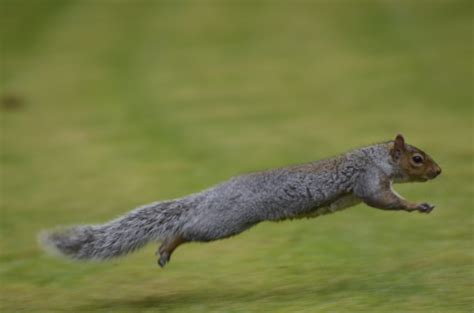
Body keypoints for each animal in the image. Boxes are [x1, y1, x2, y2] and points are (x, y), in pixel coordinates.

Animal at [39, 133, 440, 266]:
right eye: (417, 158)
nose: (438, 171)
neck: (378, 157)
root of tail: (212, 194)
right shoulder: (367, 179)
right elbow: (383, 201)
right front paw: (417, 206)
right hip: (222, 222)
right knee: (185, 229)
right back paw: (166, 247)